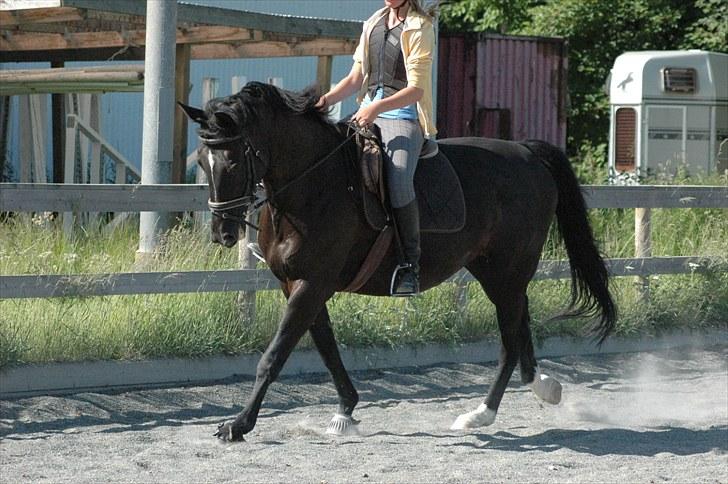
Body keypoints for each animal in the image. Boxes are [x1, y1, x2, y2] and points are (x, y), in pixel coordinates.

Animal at [181, 82, 616, 442]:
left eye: (232, 161)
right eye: (202, 161)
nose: (222, 232)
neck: (314, 185)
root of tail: (526, 152)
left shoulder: (312, 284)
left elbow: (274, 356)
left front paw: (238, 425)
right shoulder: (298, 284)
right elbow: (326, 346)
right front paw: (346, 411)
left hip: (507, 271)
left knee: (509, 341)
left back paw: (481, 414)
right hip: (494, 270)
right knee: (520, 326)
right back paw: (542, 385)